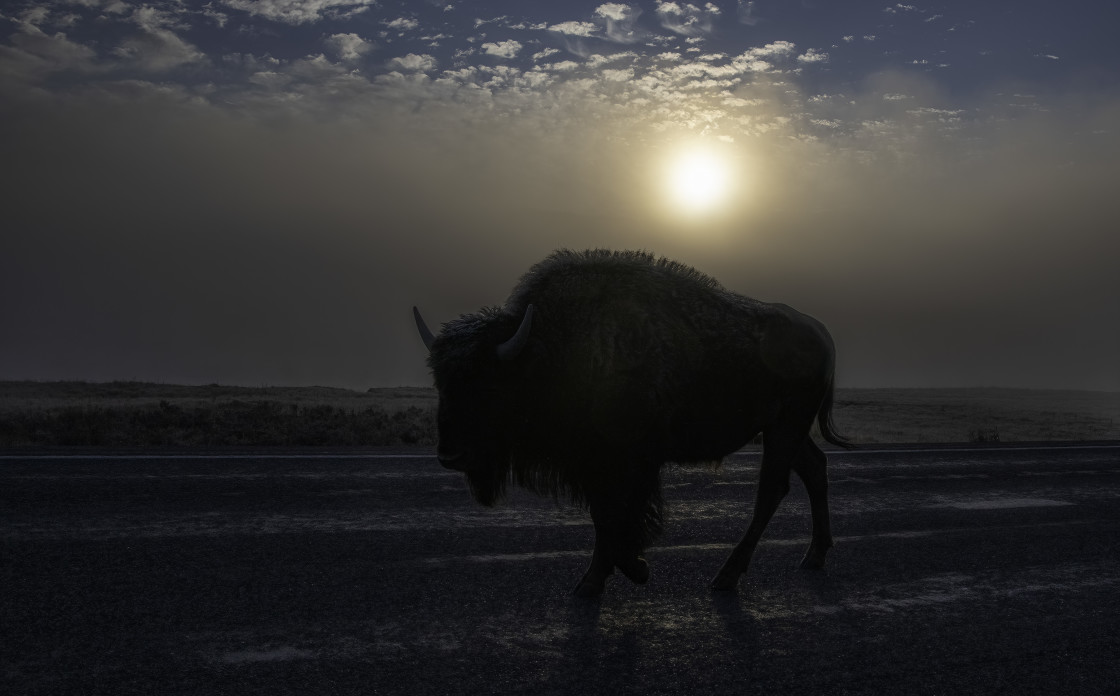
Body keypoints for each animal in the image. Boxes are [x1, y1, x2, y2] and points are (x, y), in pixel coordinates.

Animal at [414, 249, 846, 596]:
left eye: (488, 383)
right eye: (440, 380)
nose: (450, 455)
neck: (547, 346)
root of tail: (822, 333)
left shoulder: (628, 462)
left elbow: (616, 518)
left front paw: (631, 570)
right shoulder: (596, 466)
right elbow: (604, 517)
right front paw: (594, 581)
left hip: (786, 426)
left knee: (771, 490)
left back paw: (726, 577)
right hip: (780, 429)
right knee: (814, 469)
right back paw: (814, 556)